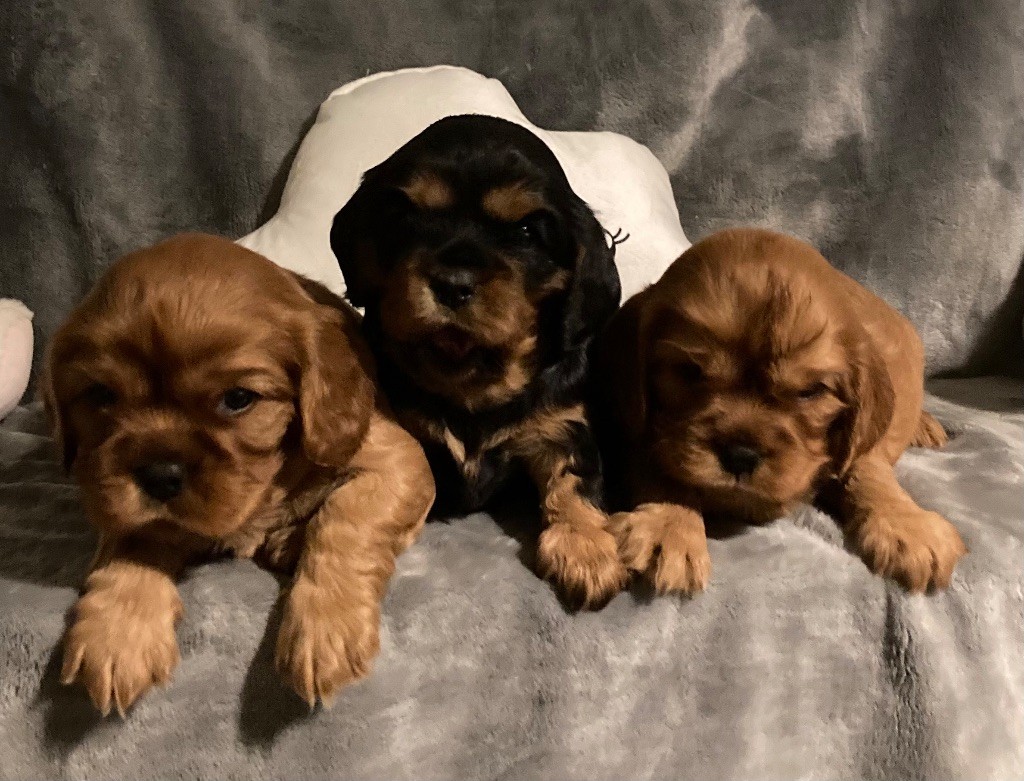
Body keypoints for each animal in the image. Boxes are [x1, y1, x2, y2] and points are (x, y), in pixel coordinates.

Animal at [41, 232, 434, 716]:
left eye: (238, 399)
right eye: (100, 396)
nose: (159, 475)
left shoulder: (395, 456)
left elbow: (347, 523)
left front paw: (325, 631)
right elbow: (134, 537)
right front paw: (115, 634)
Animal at [331, 113, 626, 605]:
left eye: (525, 232)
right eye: (406, 218)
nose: (452, 284)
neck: (474, 385)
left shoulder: (562, 427)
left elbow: (575, 484)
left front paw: (587, 552)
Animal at [598, 229, 962, 593]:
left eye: (809, 391)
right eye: (689, 371)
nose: (740, 457)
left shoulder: (861, 445)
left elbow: (868, 470)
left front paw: (907, 527)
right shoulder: (636, 427)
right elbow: (662, 466)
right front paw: (669, 526)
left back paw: (926, 426)